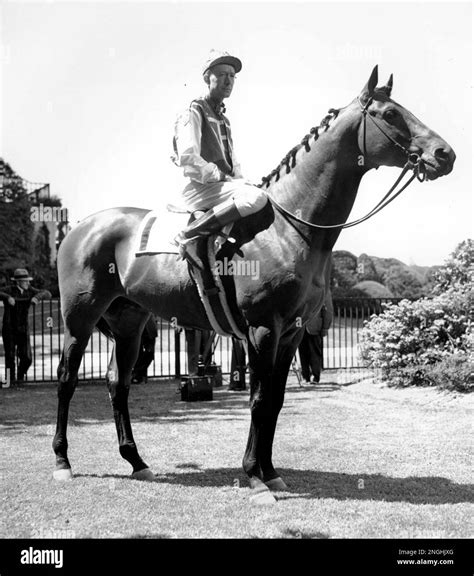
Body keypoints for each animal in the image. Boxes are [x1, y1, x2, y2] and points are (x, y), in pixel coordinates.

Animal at [52, 66, 456, 504]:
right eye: (390, 114)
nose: (445, 154)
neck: (289, 225)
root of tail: (81, 227)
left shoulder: (292, 332)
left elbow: (275, 400)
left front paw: (271, 471)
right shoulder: (264, 329)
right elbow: (260, 401)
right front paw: (255, 476)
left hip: (129, 322)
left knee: (118, 384)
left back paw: (136, 461)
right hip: (80, 319)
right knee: (66, 380)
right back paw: (62, 461)